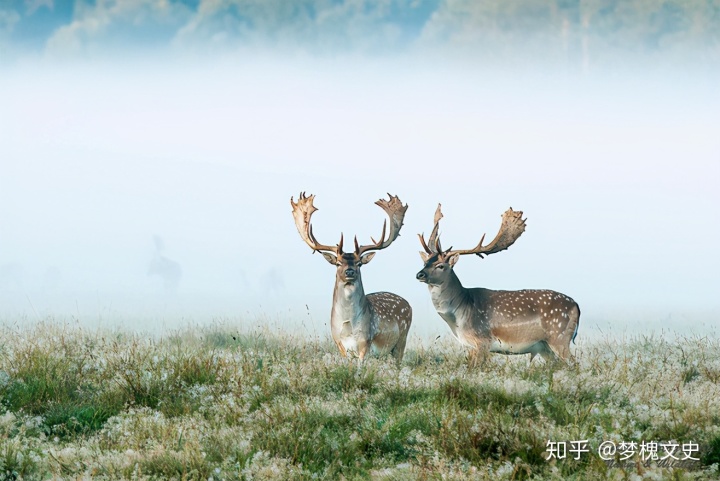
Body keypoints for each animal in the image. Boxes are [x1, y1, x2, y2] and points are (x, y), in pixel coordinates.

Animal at [286, 191, 410, 360]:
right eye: (338, 263)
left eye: (359, 263)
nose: (349, 271)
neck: (348, 327)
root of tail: (408, 304)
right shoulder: (339, 343)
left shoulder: (366, 342)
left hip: (401, 340)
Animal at [416, 204, 580, 362]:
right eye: (425, 262)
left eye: (441, 265)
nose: (419, 274)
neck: (458, 317)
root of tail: (576, 306)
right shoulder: (470, 346)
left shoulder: (482, 341)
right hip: (544, 346)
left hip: (559, 336)